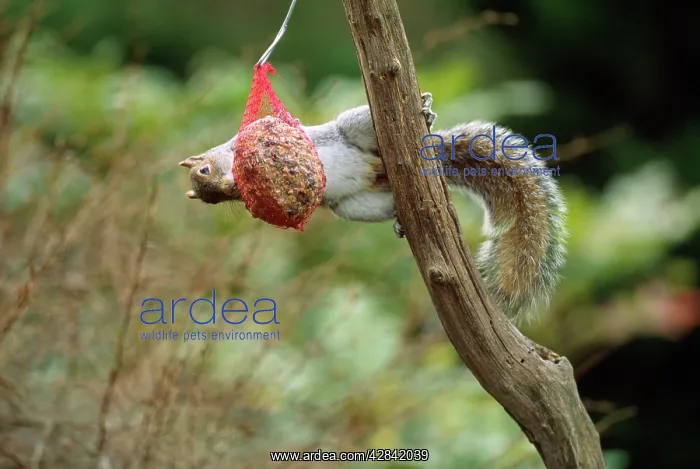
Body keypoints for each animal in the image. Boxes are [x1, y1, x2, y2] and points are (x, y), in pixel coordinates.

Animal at [179, 93, 567, 319]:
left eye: (205, 169)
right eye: (215, 198)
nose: (231, 187)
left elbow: (269, 126)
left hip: (356, 127)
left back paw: (424, 113)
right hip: (354, 205)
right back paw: (399, 219)